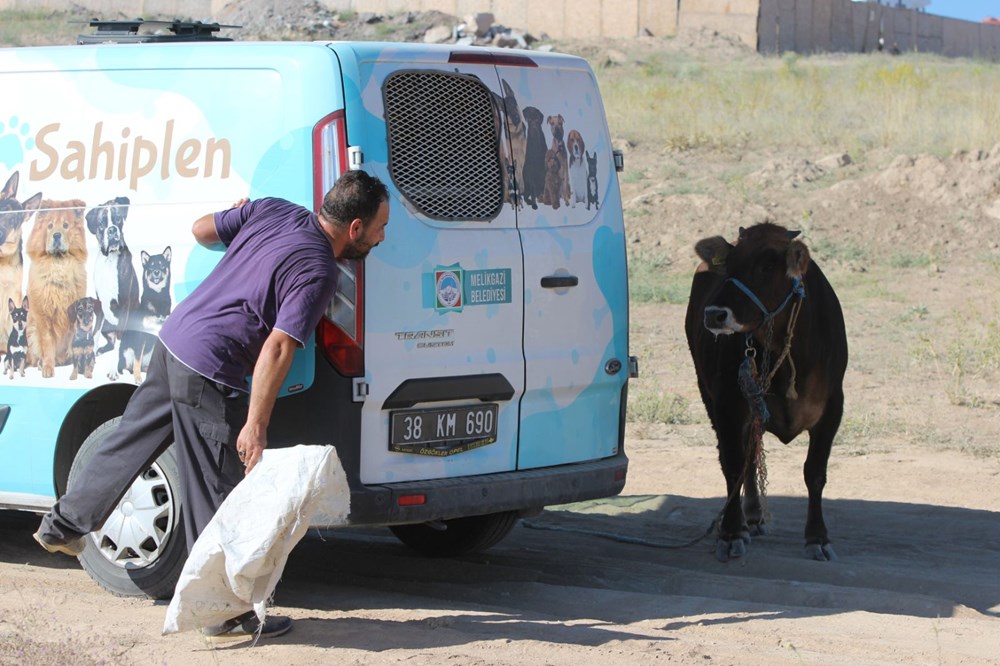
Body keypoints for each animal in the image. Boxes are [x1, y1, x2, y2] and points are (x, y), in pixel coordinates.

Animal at [688, 223, 844, 560]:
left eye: (768, 266)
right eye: (729, 265)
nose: (714, 314)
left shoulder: (832, 408)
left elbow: (815, 472)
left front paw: (818, 537)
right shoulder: (728, 405)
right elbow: (733, 464)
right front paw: (731, 532)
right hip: (709, 395)